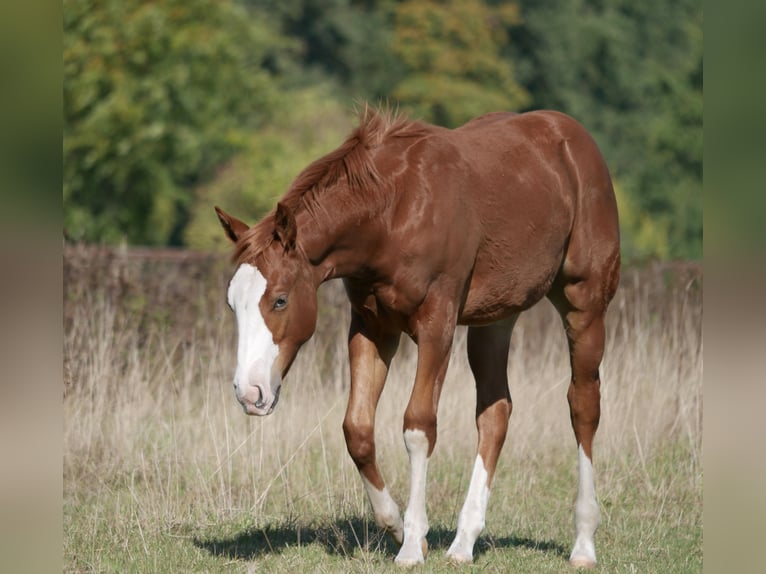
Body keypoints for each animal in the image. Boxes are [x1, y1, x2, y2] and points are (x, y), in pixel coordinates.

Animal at [215, 107, 620, 567]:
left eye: (280, 300)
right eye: (232, 303)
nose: (250, 393)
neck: (392, 213)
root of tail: (573, 137)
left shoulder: (436, 324)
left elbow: (418, 426)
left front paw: (411, 545)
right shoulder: (371, 326)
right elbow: (357, 429)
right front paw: (397, 527)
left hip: (584, 304)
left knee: (583, 406)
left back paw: (583, 543)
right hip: (495, 318)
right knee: (495, 411)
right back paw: (463, 542)